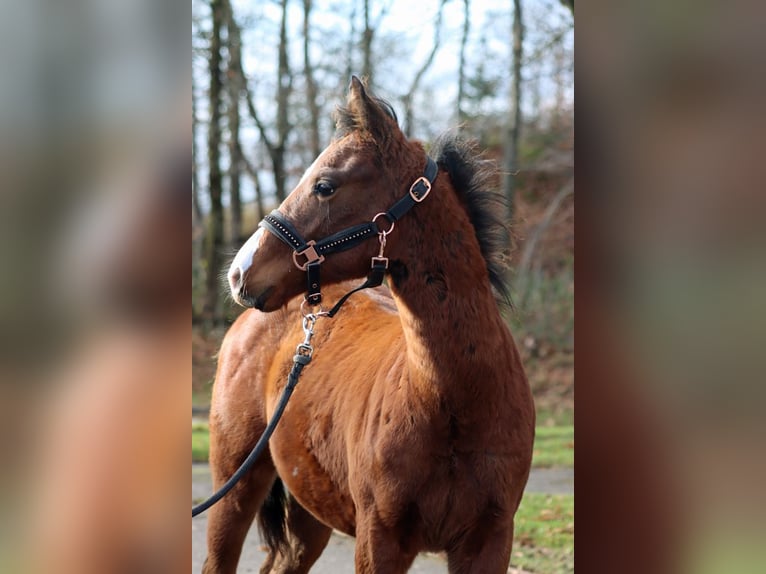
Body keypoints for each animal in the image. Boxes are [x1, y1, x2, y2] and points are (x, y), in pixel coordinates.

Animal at [202, 77, 535, 573]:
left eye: (325, 185)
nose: (239, 273)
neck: (455, 402)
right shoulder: (378, 539)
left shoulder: (490, 540)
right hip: (234, 487)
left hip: (310, 512)